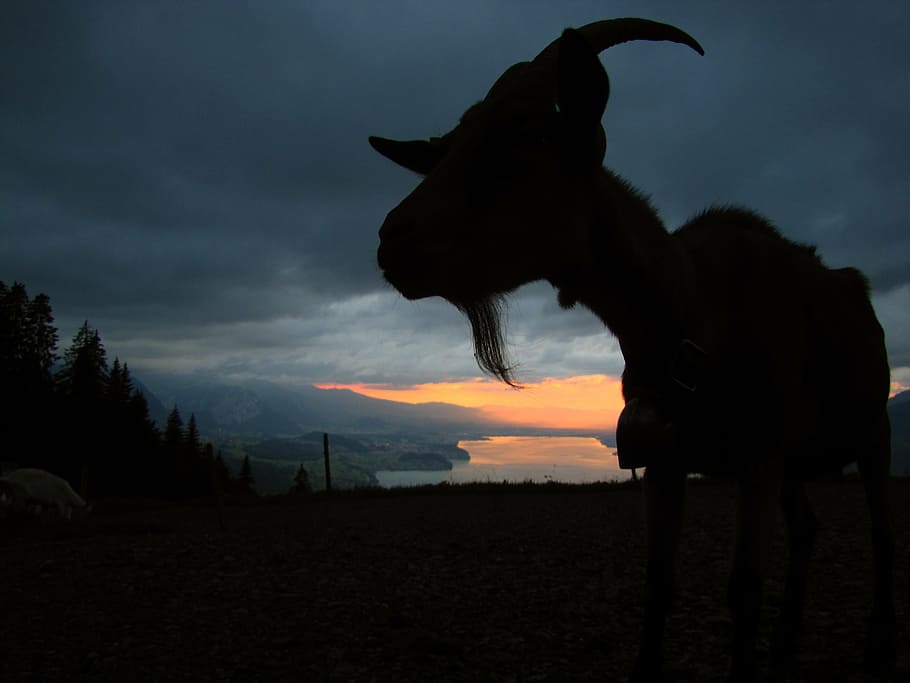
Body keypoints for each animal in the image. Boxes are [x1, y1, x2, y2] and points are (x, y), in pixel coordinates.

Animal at [369, 18, 895, 680]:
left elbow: (744, 589)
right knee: (806, 526)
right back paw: (784, 646)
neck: (691, 315)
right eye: (445, 151)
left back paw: (876, 646)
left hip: (871, 428)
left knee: (879, 530)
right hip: (795, 462)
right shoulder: (667, 461)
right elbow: (658, 581)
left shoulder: (758, 455)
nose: (392, 241)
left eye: (524, 139)